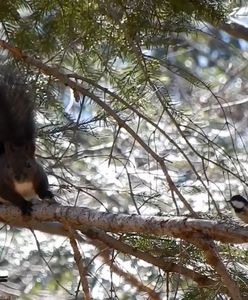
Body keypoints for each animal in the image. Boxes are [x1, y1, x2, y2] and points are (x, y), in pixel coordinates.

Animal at [0, 67, 52, 214]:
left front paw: (46, 194)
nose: (17, 177)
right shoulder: (2, 184)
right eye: (8, 166)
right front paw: (24, 204)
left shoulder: (39, 173)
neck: (22, 186)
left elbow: (42, 186)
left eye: (28, 164)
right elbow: (12, 196)